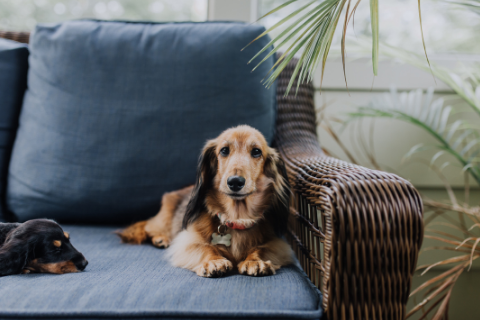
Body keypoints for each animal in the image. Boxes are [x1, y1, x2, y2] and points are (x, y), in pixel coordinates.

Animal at [118, 125, 294, 278]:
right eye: (224, 150)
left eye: (256, 152)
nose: (235, 182)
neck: (236, 218)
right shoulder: (187, 241)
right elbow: (206, 247)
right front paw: (214, 261)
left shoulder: (277, 244)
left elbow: (261, 248)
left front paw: (255, 260)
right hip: (164, 219)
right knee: (149, 227)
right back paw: (161, 238)